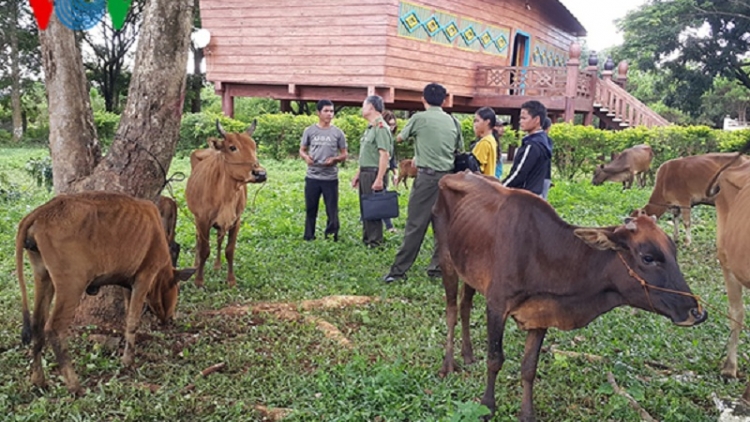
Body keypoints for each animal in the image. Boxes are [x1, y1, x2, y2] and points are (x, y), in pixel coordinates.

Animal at [16, 192, 197, 396]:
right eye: (176, 289)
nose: (170, 318)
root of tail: (42, 212)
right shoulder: (144, 276)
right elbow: (133, 322)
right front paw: (128, 361)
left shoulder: (128, 284)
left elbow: (127, 318)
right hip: (71, 285)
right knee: (54, 328)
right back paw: (74, 385)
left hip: (43, 277)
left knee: (37, 325)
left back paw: (38, 380)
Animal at [185, 120, 268, 288]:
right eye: (232, 147)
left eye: (254, 146)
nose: (260, 174)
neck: (227, 195)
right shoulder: (202, 220)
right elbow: (204, 249)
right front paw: (199, 280)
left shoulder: (236, 220)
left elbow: (229, 250)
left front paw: (231, 280)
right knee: (198, 239)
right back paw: (196, 264)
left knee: (219, 239)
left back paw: (217, 265)